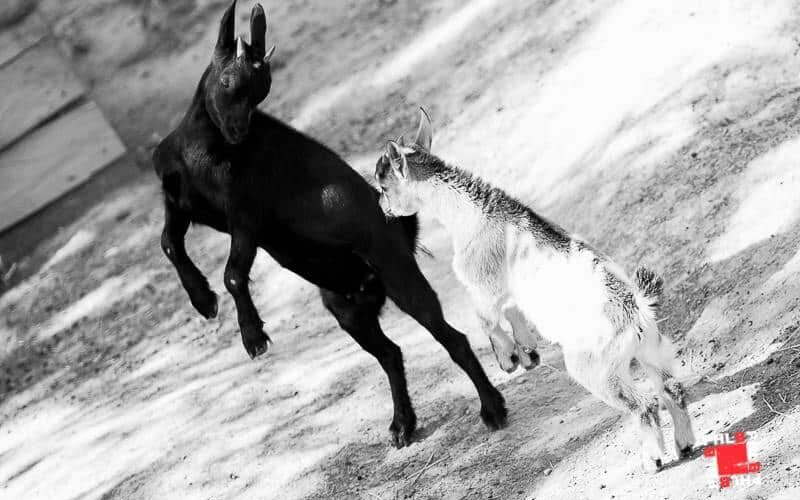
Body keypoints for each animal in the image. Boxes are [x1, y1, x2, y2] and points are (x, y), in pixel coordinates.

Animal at [150, 0, 506, 446]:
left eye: (262, 89)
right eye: (229, 80)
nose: (237, 132)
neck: (199, 151)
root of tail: (401, 234)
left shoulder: (246, 217)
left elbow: (233, 274)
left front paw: (253, 336)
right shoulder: (181, 204)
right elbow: (168, 243)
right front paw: (203, 301)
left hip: (401, 278)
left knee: (450, 338)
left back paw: (492, 409)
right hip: (345, 309)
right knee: (390, 353)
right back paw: (402, 425)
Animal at [376, 109, 692, 472]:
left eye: (382, 185)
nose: (382, 208)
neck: (472, 211)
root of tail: (634, 307)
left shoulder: (482, 283)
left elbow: (486, 320)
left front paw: (509, 359)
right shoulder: (510, 290)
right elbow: (513, 309)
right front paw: (527, 352)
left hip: (594, 367)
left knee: (644, 404)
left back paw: (652, 459)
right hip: (653, 349)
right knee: (671, 387)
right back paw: (685, 445)